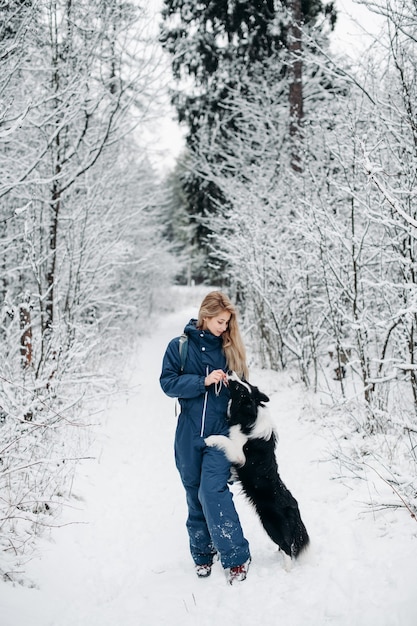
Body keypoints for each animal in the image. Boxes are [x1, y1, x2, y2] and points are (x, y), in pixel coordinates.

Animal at [205, 370, 308, 556]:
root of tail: (294, 508)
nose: (229, 371)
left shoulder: (240, 455)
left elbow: (224, 439)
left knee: (287, 547)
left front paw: (209, 439)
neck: (249, 417)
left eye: (239, 387)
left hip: (270, 524)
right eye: (243, 382)